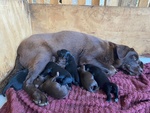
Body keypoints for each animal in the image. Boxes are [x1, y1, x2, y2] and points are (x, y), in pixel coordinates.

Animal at [3, 30, 143, 105]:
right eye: (134, 57)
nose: (141, 70)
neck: (110, 51)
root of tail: (19, 49)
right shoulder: (88, 58)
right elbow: (112, 69)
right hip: (43, 55)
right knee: (27, 81)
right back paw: (38, 96)